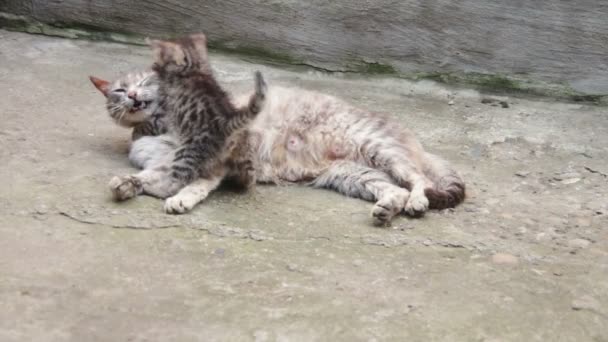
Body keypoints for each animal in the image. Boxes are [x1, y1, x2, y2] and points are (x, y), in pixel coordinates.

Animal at [106, 32, 266, 200]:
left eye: (156, 63)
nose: (152, 68)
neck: (194, 71)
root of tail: (226, 121)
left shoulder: (166, 111)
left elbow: (149, 123)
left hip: (188, 151)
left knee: (174, 183)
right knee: (247, 175)